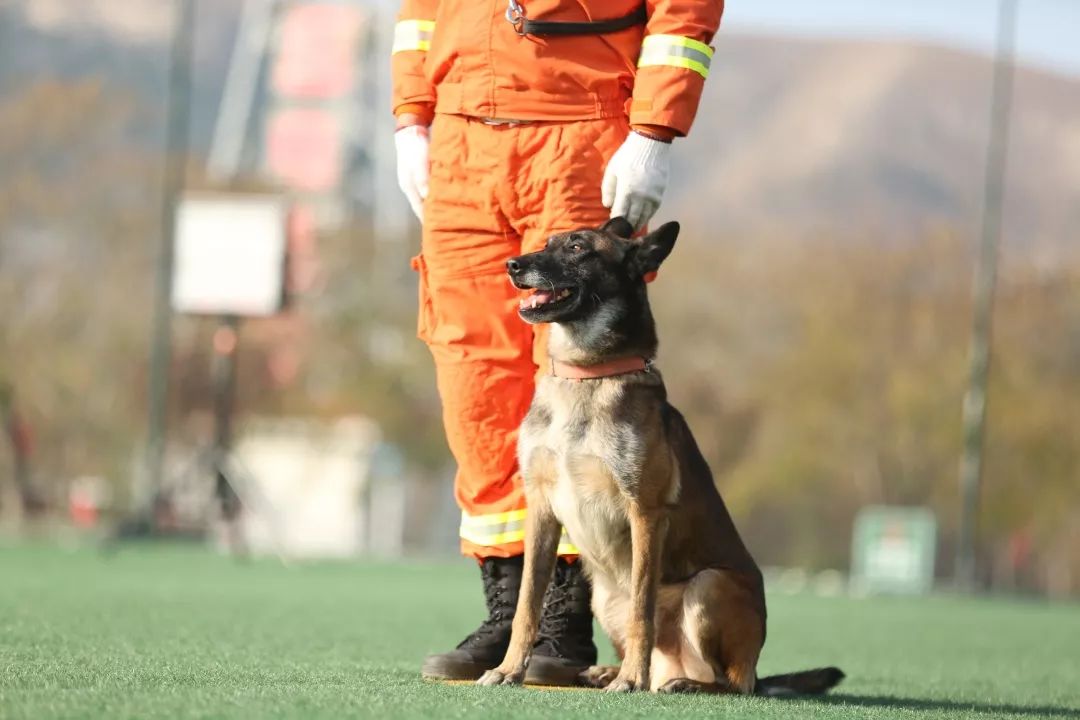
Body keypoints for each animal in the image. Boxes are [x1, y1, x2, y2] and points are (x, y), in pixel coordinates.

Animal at [479, 216, 842, 695]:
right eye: (548, 242)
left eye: (577, 248)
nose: (513, 265)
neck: (587, 377)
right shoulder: (540, 510)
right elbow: (527, 605)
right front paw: (508, 669)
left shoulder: (645, 514)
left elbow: (642, 608)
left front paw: (631, 678)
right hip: (603, 597)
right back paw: (611, 671)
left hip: (709, 586)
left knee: (731, 682)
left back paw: (672, 681)